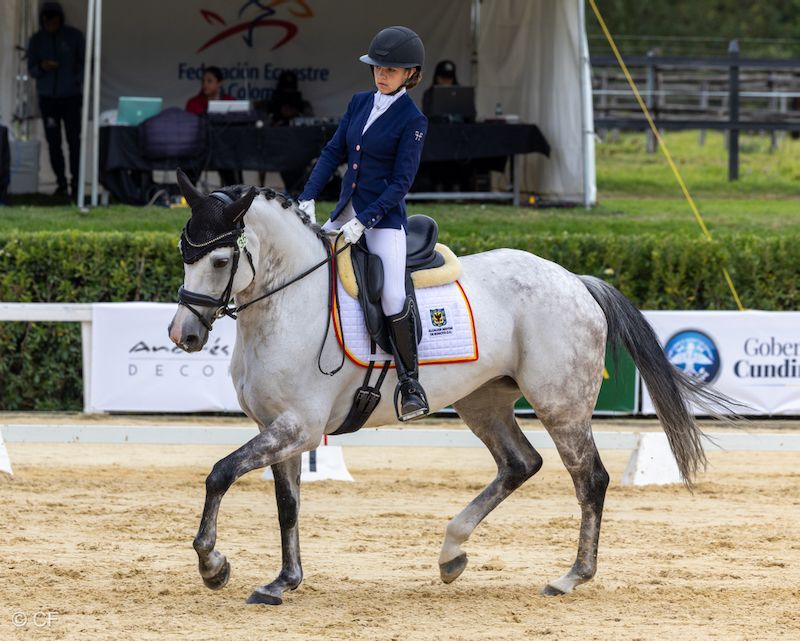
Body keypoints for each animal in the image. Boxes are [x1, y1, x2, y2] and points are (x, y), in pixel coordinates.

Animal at [168, 172, 728, 605]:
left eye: (220, 261)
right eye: (182, 253)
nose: (183, 335)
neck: (288, 303)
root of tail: (575, 280)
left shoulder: (298, 428)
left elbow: (219, 474)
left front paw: (213, 565)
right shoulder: (281, 428)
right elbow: (288, 505)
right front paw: (283, 581)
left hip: (561, 405)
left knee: (589, 479)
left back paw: (570, 578)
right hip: (483, 401)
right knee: (520, 463)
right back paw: (452, 553)